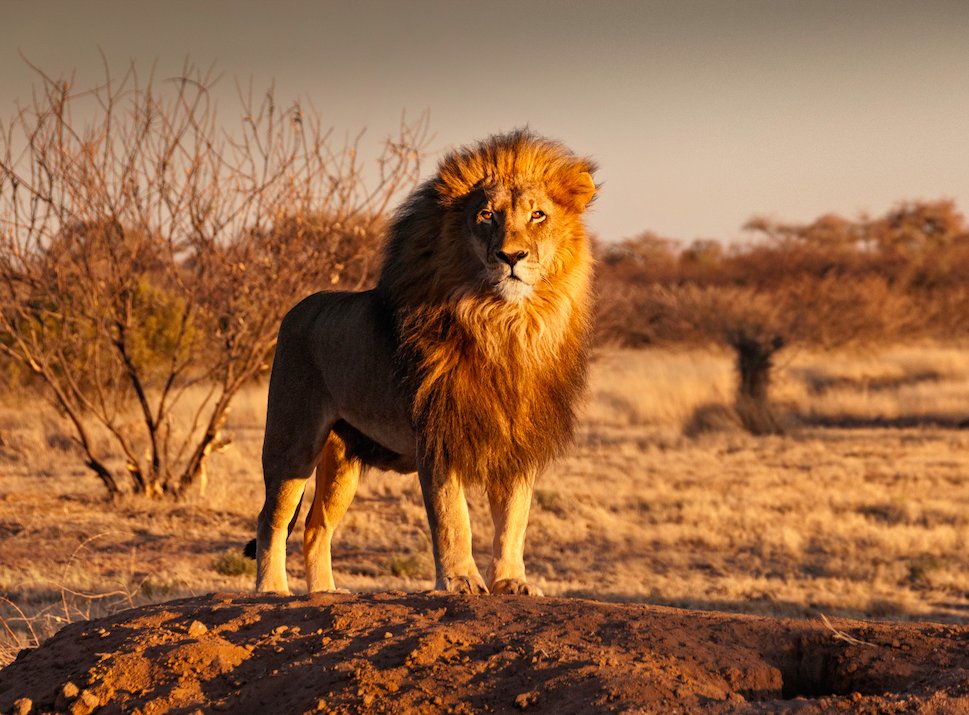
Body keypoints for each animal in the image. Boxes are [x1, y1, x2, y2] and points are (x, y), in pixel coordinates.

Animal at [251, 129, 597, 595]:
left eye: (538, 215)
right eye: (486, 215)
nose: (512, 257)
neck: (506, 325)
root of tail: (297, 309)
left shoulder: (518, 440)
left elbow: (514, 520)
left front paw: (511, 582)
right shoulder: (437, 434)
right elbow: (453, 517)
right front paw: (460, 580)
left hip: (342, 459)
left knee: (315, 526)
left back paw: (325, 592)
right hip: (293, 439)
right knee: (272, 517)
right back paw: (272, 590)